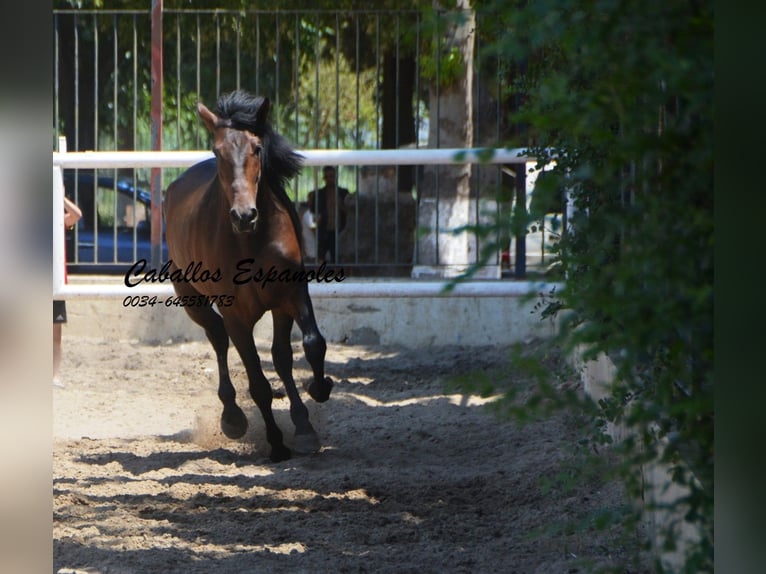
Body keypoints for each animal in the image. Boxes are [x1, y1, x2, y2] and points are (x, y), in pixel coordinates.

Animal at [165, 92, 332, 466]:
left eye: (257, 148)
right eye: (217, 151)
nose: (244, 215)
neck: (252, 241)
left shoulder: (291, 297)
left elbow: (308, 346)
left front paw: (314, 404)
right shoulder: (237, 317)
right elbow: (257, 383)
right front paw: (277, 444)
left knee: (279, 356)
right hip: (193, 300)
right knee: (217, 338)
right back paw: (232, 418)